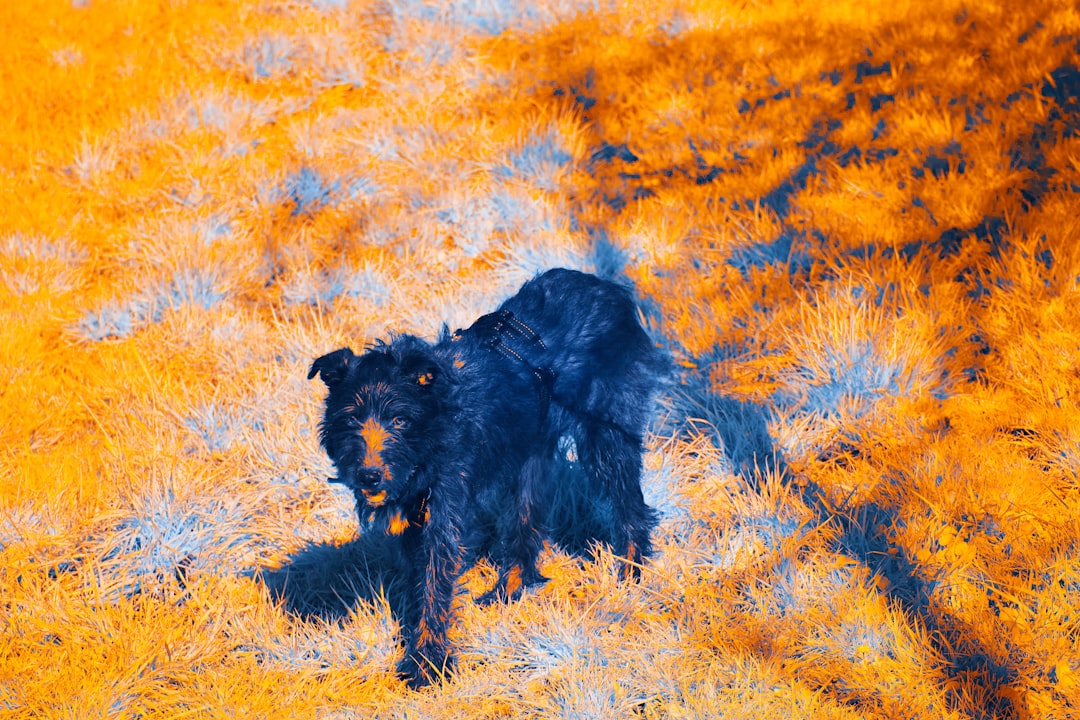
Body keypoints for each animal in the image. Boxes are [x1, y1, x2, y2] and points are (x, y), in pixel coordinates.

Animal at [308, 268, 665, 686]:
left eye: (399, 420)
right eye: (350, 420)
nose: (369, 476)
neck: (438, 420)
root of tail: (607, 287)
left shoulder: (445, 513)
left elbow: (435, 584)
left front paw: (427, 664)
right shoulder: (417, 520)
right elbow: (420, 582)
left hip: (605, 437)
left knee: (630, 505)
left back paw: (631, 572)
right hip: (532, 452)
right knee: (528, 522)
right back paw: (508, 591)